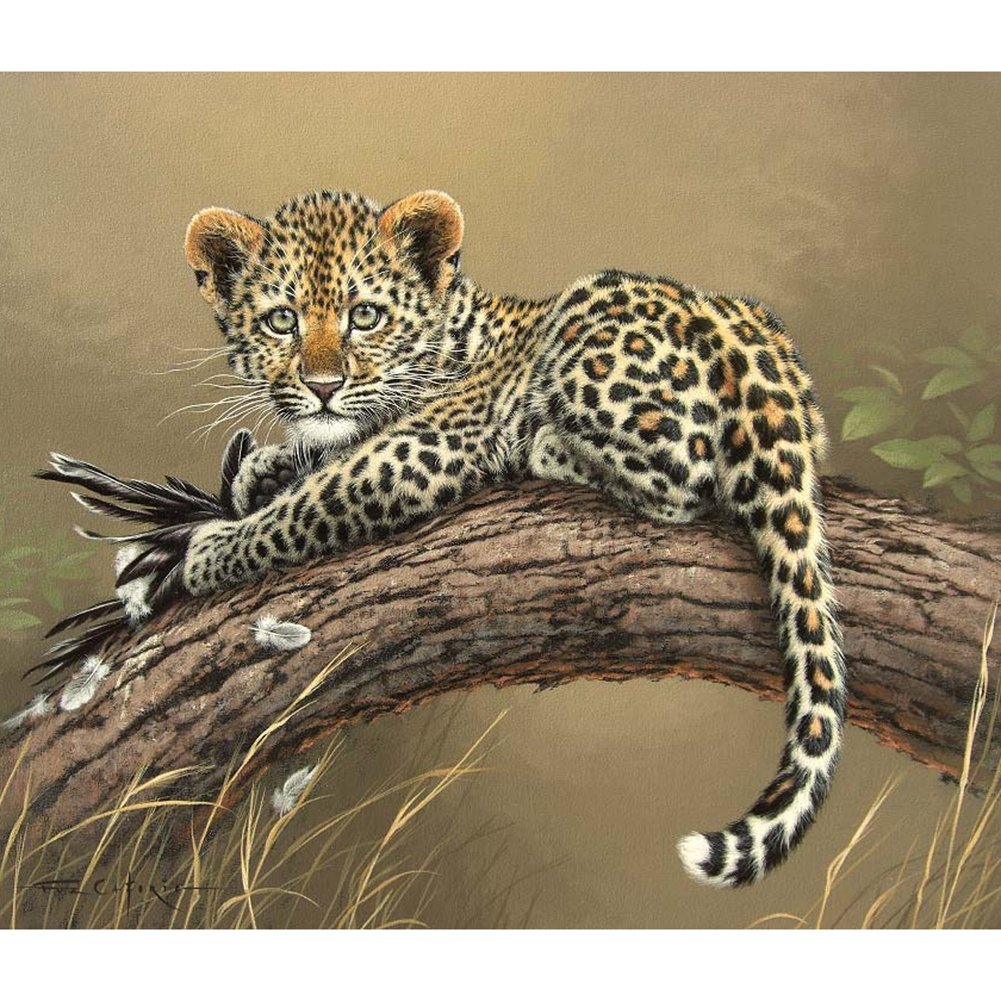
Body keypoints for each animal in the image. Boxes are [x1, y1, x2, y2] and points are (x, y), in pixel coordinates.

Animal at [37, 187, 846, 888]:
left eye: (365, 315)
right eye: (280, 321)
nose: (323, 385)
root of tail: (772, 379)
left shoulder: (423, 446)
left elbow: (311, 502)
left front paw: (200, 550)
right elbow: (313, 458)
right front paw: (257, 470)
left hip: (595, 335)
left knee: (683, 477)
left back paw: (545, 443)